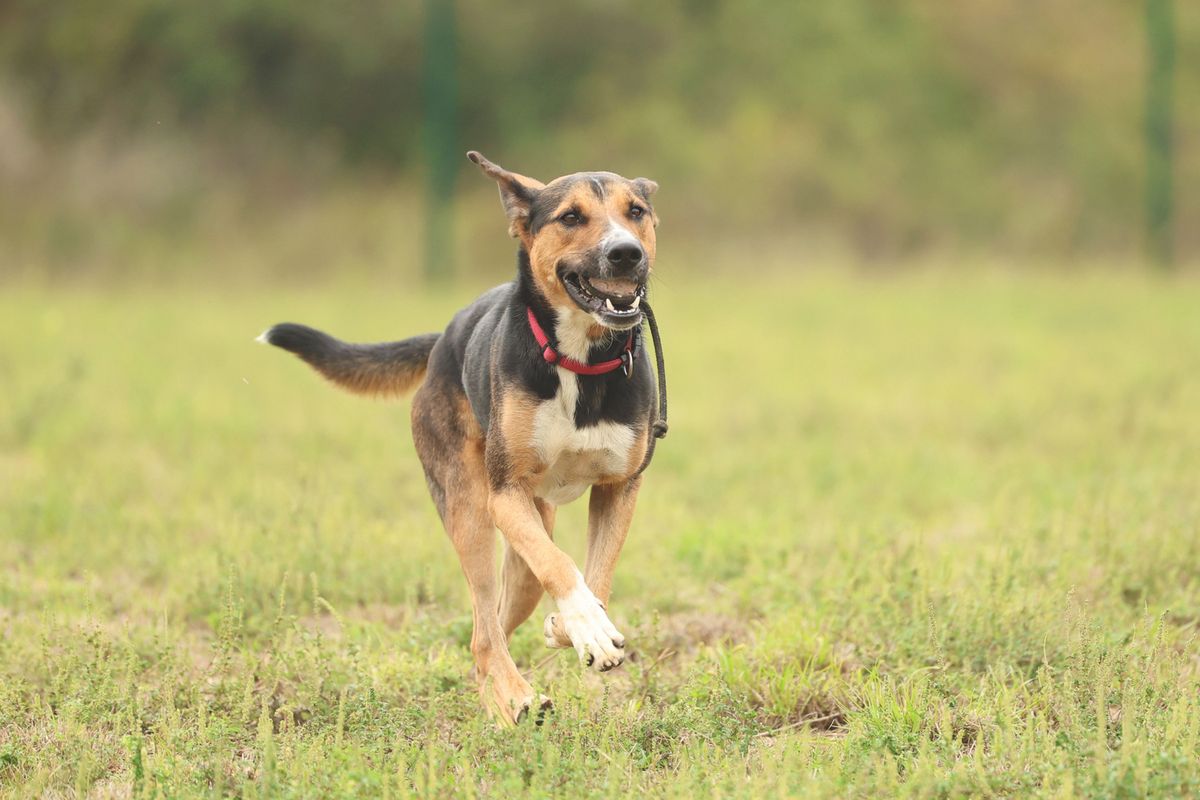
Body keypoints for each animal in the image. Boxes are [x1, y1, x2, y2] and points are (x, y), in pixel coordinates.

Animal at [260, 151, 667, 724]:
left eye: (636, 212)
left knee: (494, 623)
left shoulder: (619, 488)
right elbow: (562, 564)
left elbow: (597, 573)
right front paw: (585, 625)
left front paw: (577, 626)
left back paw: (507, 700)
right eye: (570, 217)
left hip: (525, 546)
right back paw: (517, 701)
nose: (626, 253)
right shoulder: (504, 494)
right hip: (472, 511)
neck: (577, 358)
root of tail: (441, 344)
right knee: (483, 631)